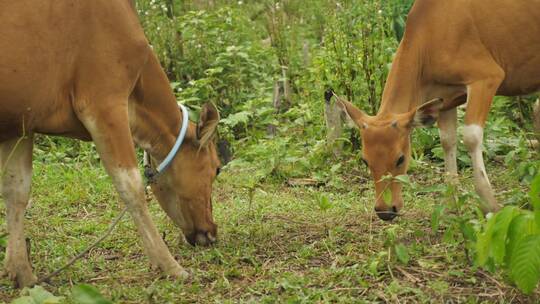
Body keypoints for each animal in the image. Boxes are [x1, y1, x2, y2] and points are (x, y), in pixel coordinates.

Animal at [0, 0, 221, 288]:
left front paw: (22, 273)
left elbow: (16, 190)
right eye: (216, 168)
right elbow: (131, 186)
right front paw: (170, 267)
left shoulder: (21, 123)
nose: (212, 231)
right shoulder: (104, 104)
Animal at [338, 0, 540, 220]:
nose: (385, 210)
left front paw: (489, 205)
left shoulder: (487, 78)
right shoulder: (445, 100)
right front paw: (451, 203)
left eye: (401, 159)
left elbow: (471, 137)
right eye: (365, 161)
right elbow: (447, 141)